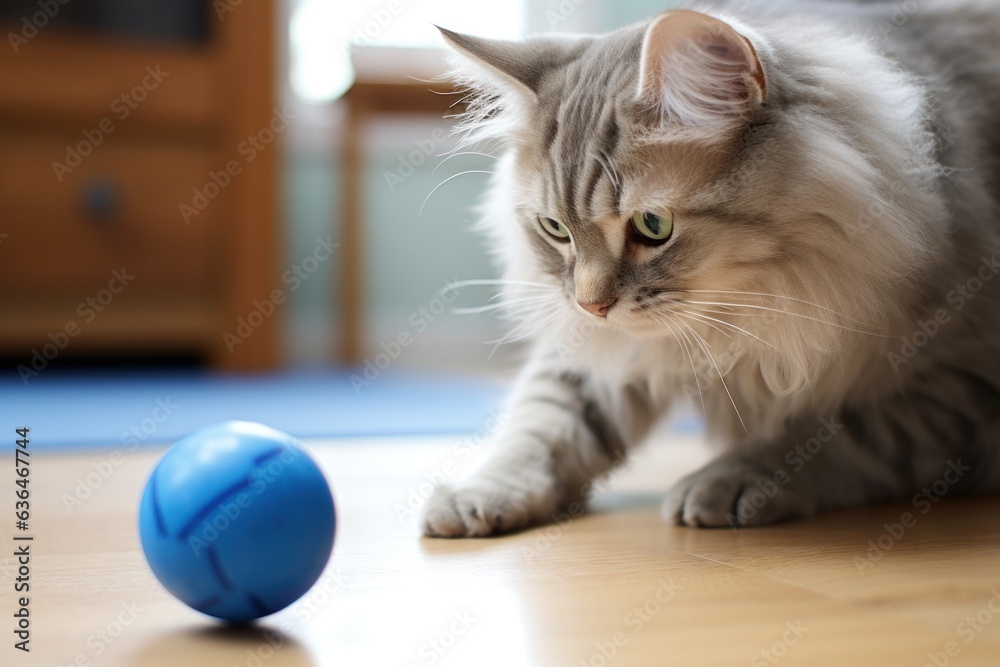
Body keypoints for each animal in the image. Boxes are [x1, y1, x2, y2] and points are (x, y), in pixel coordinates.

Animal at [420, 0, 1000, 536]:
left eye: (653, 225)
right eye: (555, 229)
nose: (592, 305)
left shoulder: (955, 383)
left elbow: (828, 436)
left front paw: (729, 479)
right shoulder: (597, 354)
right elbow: (539, 423)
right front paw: (478, 494)